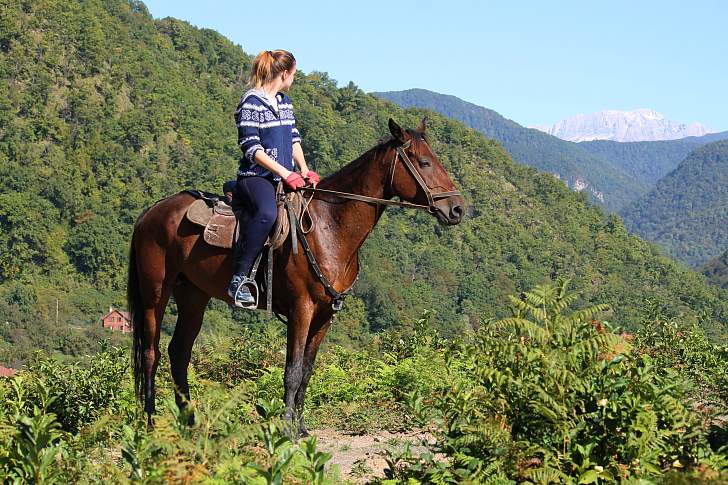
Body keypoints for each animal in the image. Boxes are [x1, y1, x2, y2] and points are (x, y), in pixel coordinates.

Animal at [128, 118, 464, 434]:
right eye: (424, 162)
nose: (457, 209)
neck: (329, 226)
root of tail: (151, 213)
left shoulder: (325, 315)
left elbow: (306, 372)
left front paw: (301, 427)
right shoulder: (301, 309)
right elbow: (291, 371)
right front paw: (287, 428)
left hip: (193, 296)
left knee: (179, 353)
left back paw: (189, 423)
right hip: (155, 293)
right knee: (151, 353)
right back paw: (150, 423)